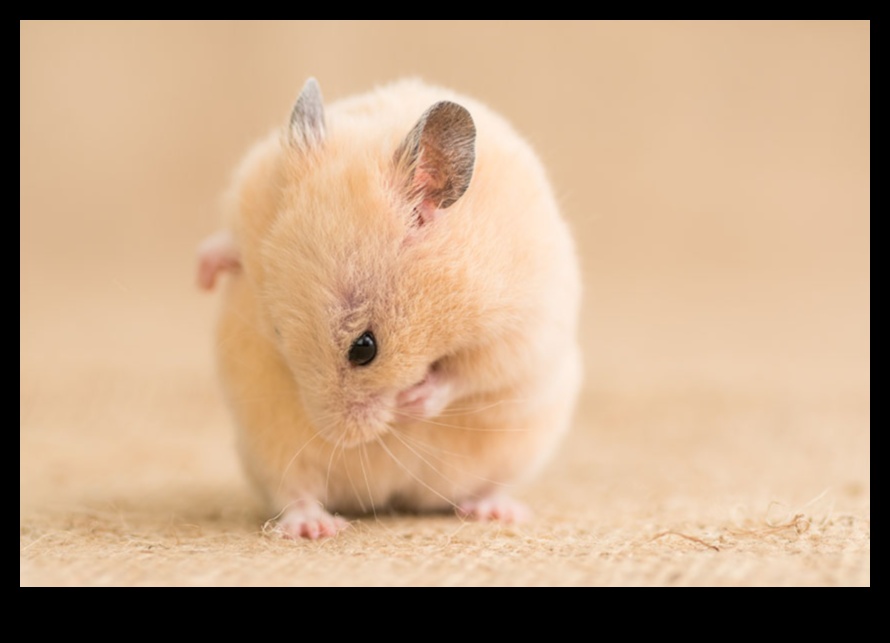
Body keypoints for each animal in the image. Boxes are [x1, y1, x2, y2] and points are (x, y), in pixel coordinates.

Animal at [198, 78, 582, 539]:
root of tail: (381, 495)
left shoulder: (523, 325)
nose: (340, 438)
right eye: (276, 332)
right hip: (266, 444)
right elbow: (228, 237)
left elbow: (470, 373)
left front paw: (415, 401)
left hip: (517, 450)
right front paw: (206, 273)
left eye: (365, 348)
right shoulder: (248, 193)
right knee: (293, 491)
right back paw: (315, 527)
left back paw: (496, 510)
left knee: (489, 486)